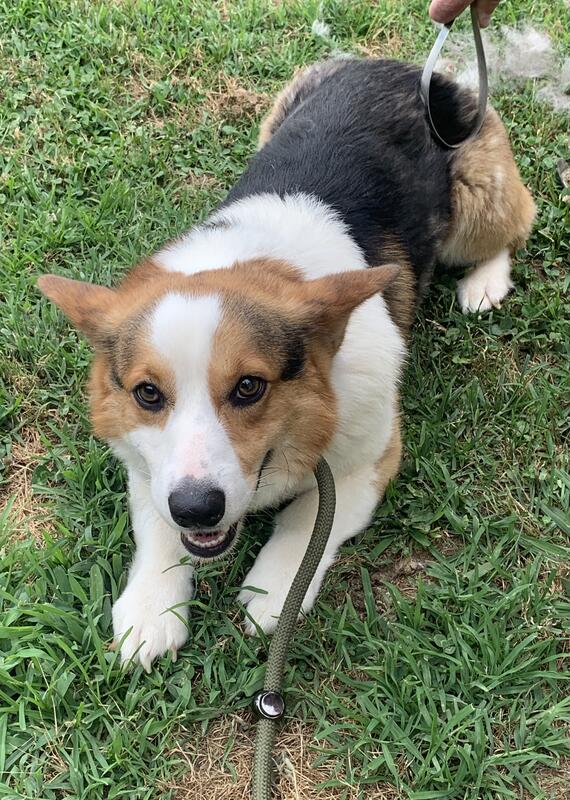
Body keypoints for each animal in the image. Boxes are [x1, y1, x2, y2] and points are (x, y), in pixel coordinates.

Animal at [38, 59, 535, 670]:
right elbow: (156, 524)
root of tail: (411, 69)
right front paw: (152, 608)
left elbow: (307, 522)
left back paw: (484, 283)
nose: (197, 510)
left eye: (250, 387)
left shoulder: (369, 461)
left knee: (513, 228)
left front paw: (274, 592)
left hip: (475, 207)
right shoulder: (148, 468)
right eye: (147, 394)